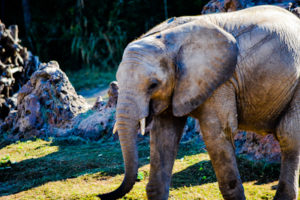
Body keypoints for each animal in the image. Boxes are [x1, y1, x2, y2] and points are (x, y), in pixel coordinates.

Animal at [99, 5, 300, 200]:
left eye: (153, 85)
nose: (101, 194)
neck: (167, 38)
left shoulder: (221, 81)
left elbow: (217, 134)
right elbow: (164, 135)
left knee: (288, 136)